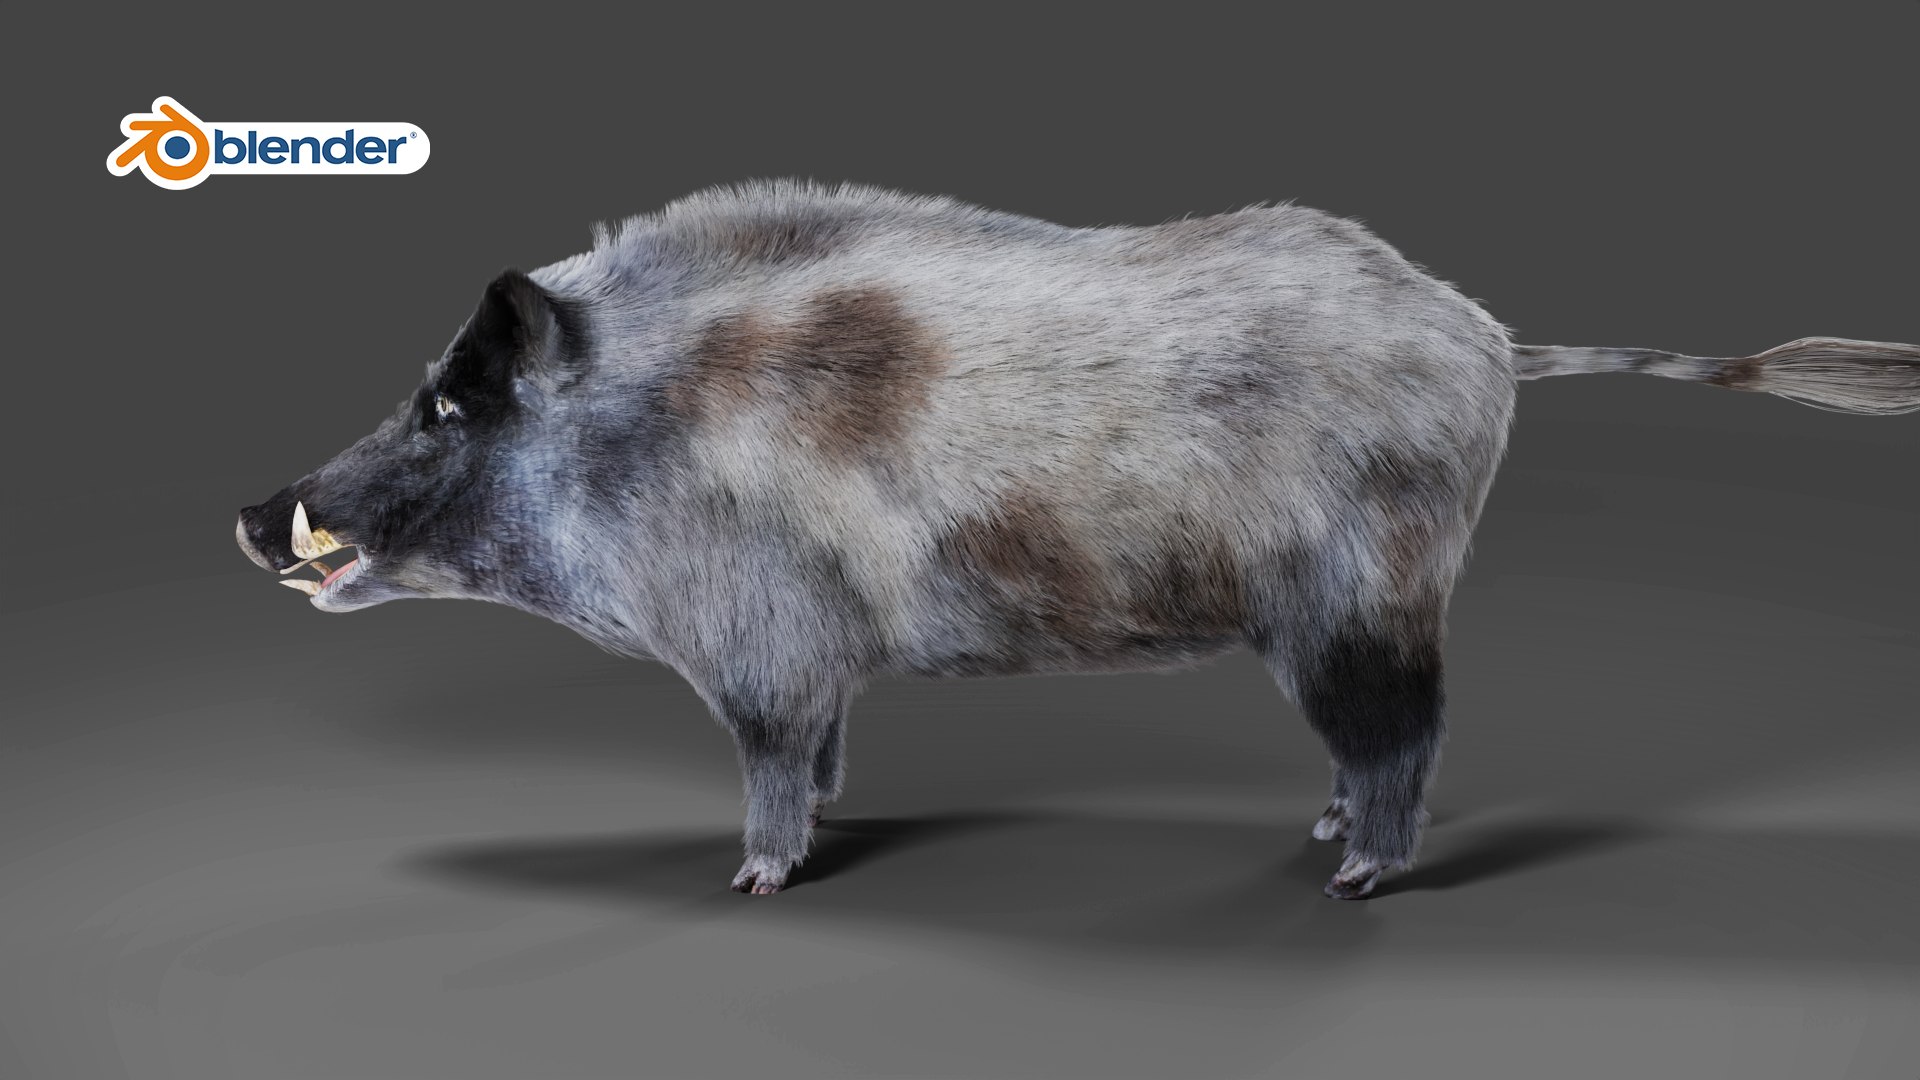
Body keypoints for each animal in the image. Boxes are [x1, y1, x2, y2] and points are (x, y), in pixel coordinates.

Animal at [236, 180, 1920, 899]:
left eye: (448, 404)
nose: (252, 512)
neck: (646, 427)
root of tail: (1488, 338)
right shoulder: (818, 658)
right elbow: (825, 752)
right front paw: (823, 829)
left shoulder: (759, 641)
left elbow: (772, 761)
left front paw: (756, 881)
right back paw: (1321, 836)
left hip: (1362, 597)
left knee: (1410, 732)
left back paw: (1355, 879)